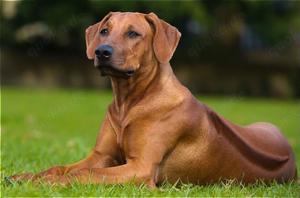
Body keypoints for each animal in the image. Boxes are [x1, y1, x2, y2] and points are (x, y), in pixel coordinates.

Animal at [9, 11, 298, 186]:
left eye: (133, 33)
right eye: (104, 31)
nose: (102, 52)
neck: (129, 102)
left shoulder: (141, 168)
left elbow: (87, 172)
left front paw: (47, 182)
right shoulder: (101, 154)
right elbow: (61, 167)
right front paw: (28, 175)